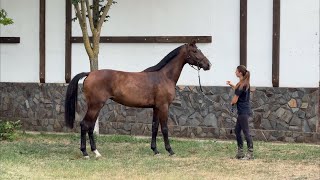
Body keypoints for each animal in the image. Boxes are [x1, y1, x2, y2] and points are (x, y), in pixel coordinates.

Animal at [65, 40, 211, 158]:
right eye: (195, 51)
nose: (208, 65)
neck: (164, 76)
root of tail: (89, 73)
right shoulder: (164, 106)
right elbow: (164, 128)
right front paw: (170, 150)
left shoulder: (156, 107)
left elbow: (154, 127)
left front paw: (155, 150)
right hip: (95, 106)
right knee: (84, 125)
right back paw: (85, 153)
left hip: (96, 106)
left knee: (90, 127)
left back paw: (96, 152)